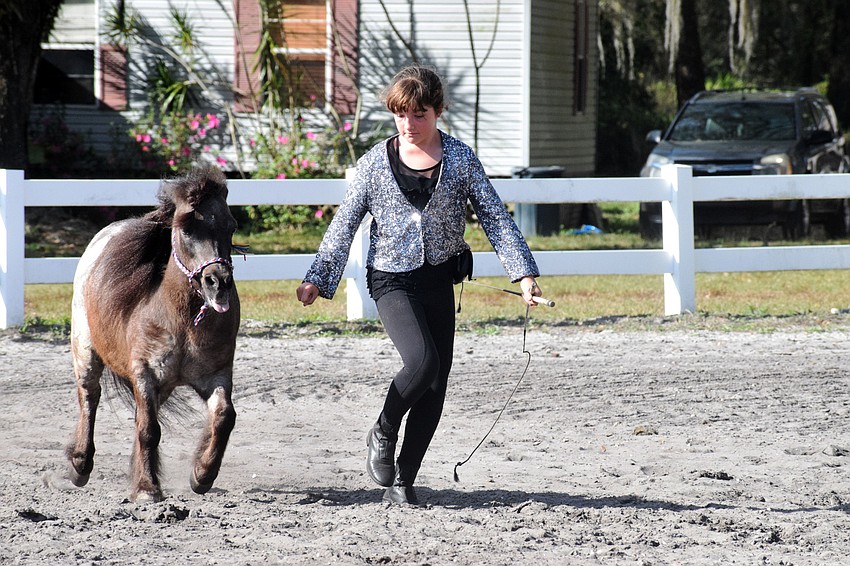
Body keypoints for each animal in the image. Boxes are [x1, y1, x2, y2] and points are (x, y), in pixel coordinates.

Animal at [66, 164, 241, 502]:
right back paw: (80, 465)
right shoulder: (145, 373)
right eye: (187, 229)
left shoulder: (216, 374)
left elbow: (224, 417)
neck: (181, 319)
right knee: (89, 397)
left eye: (230, 226)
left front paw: (202, 474)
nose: (219, 283)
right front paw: (148, 489)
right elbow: (149, 430)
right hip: (85, 350)